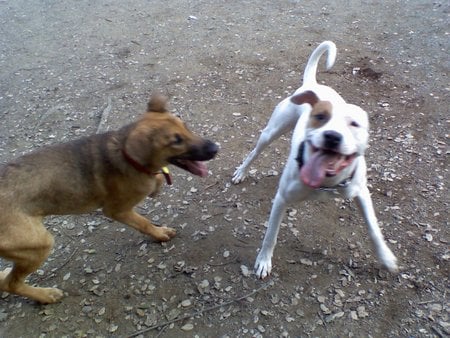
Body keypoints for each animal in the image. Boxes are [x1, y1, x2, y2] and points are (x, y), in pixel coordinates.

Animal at [0, 94, 218, 304]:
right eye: (176, 141)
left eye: (186, 126)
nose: (215, 148)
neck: (127, 155)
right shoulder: (117, 210)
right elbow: (144, 223)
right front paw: (160, 233)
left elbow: (156, 179)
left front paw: (156, 186)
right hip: (39, 243)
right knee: (10, 284)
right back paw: (45, 296)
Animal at [234, 41, 400, 278]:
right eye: (320, 116)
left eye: (354, 124)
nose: (332, 136)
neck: (326, 182)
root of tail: (312, 84)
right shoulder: (282, 199)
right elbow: (270, 235)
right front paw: (264, 261)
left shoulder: (361, 192)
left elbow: (374, 228)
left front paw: (386, 258)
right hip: (271, 132)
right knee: (253, 153)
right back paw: (241, 172)